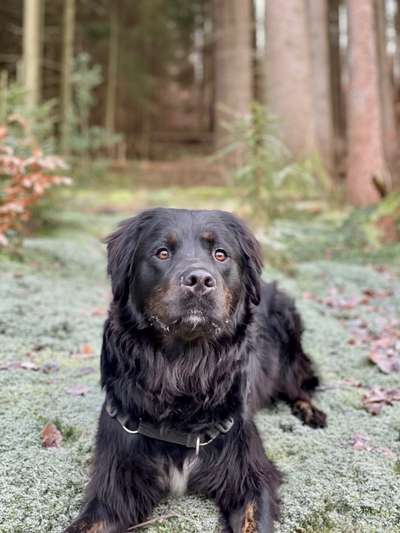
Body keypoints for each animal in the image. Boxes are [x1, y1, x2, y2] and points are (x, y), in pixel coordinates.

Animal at [65, 208, 324, 532]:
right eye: (162, 252)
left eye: (220, 254)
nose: (199, 279)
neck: (184, 367)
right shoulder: (115, 482)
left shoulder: (250, 474)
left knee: (300, 384)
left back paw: (310, 411)